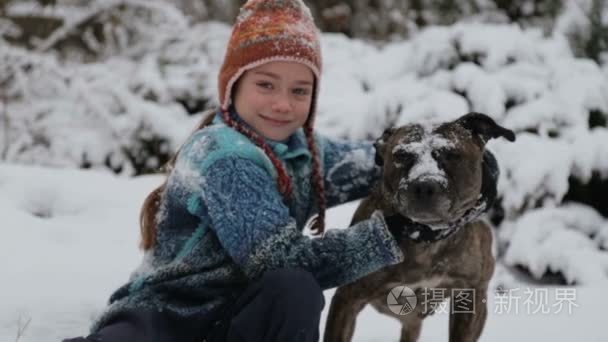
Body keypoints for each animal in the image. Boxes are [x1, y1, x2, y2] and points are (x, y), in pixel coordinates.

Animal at [326, 113, 516, 342]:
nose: (424, 185)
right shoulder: (348, 298)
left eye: (451, 154)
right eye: (401, 155)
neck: (428, 242)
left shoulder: (472, 293)